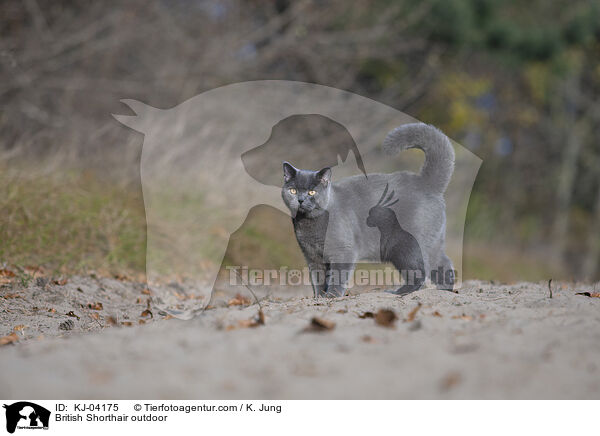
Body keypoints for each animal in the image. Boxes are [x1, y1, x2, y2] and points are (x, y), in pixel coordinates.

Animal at [282, 124, 454, 298]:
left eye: (312, 192)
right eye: (293, 190)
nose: (300, 199)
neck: (309, 224)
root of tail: (426, 182)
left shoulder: (343, 251)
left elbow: (337, 276)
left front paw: (332, 296)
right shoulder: (312, 256)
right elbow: (317, 278)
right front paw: (319, 297)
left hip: (407, 245)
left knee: (419, 272)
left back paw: (398, 292)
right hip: (433, 243)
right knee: (444, 264)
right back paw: (445, 291)